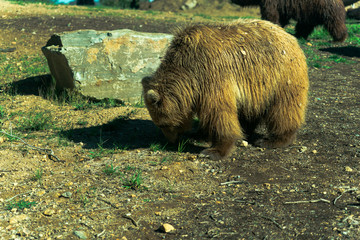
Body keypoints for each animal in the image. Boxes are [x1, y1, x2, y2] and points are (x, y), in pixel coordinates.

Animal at [142, 18, 308, 160]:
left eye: (163, 124)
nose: (171, 141)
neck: (189, 71)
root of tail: (290, 37)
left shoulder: (212, 75)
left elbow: (219, 112)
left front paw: (213, 151)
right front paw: (199, 134)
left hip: (282, 75)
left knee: (284, 108)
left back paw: (273, 140)